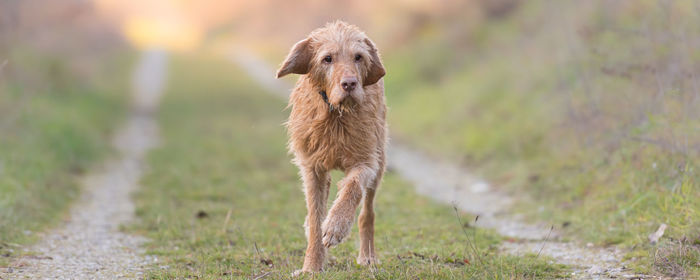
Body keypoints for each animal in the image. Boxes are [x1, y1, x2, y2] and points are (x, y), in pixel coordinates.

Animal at [276, 20, 388, 274]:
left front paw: (336, 226)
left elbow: (352, 188)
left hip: (380, 162)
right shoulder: (312, 168)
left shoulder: (366, 160)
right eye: (327, 58)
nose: (349, 84)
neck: (336, 114)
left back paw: (367, 256)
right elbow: (315, 217)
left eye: (358, 57)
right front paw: (311, 267)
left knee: (367, 213)